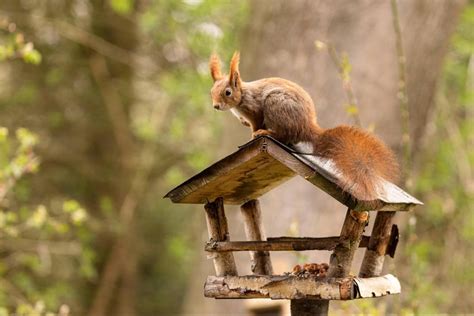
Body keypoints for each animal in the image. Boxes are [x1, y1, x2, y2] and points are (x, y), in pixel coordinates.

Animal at [209, 51, 398, 200]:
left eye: (227, 92)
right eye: (211, 92)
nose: (215, 106)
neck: (241, 97)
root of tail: (307, 127)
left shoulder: (254, 110)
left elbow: (255, 124)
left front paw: (254, 135)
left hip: (275, 103)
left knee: (284, 135)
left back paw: (267, 132)